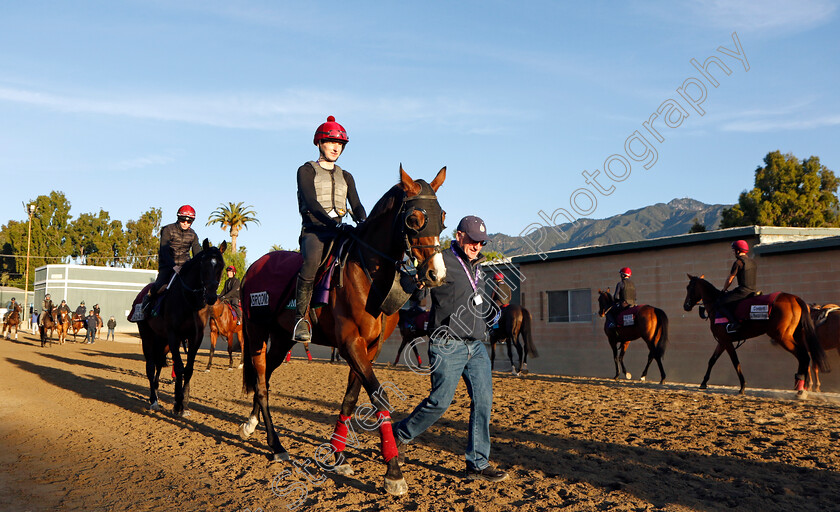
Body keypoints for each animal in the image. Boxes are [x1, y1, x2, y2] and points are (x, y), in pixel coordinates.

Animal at [136, 240, 226, 416]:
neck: (188, 300)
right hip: (147, 336)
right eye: (204, 265)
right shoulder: (174, 335)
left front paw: (184, 404)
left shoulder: (195, 337)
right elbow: (178, 367)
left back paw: (156, 394)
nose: (211, 296)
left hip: (162, 341)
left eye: (221, 265)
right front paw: (177, 404)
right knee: (150, 366)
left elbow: (188, 369)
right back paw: (154, 401)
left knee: (158, 364)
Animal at [240, 168, 450, 496]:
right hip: (257, 333)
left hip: (282, 339)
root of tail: (253, 267)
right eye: (414, 219)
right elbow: (379, 398)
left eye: (442, 216)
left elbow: (350, 400)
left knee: (266, 379)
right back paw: (276, 447)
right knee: (261, 385)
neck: (367, 274)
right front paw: (393, 472)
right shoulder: (351, 343)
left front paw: (338, 456)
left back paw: (251, 423)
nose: (436, 274)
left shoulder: (370, 347)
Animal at [684, 274, 828, 394]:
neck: (716, 306)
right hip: (796, 336)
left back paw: (800, 387)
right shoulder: (722, 341)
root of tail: (794, 298)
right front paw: (703, 382)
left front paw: (742, 386)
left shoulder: (726, 341)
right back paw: (801, 385)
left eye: (689, 287)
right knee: (804, 356)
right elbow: (712, 360)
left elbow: (735, 362)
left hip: (782, 337)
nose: (686, 306)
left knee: (802, 355)